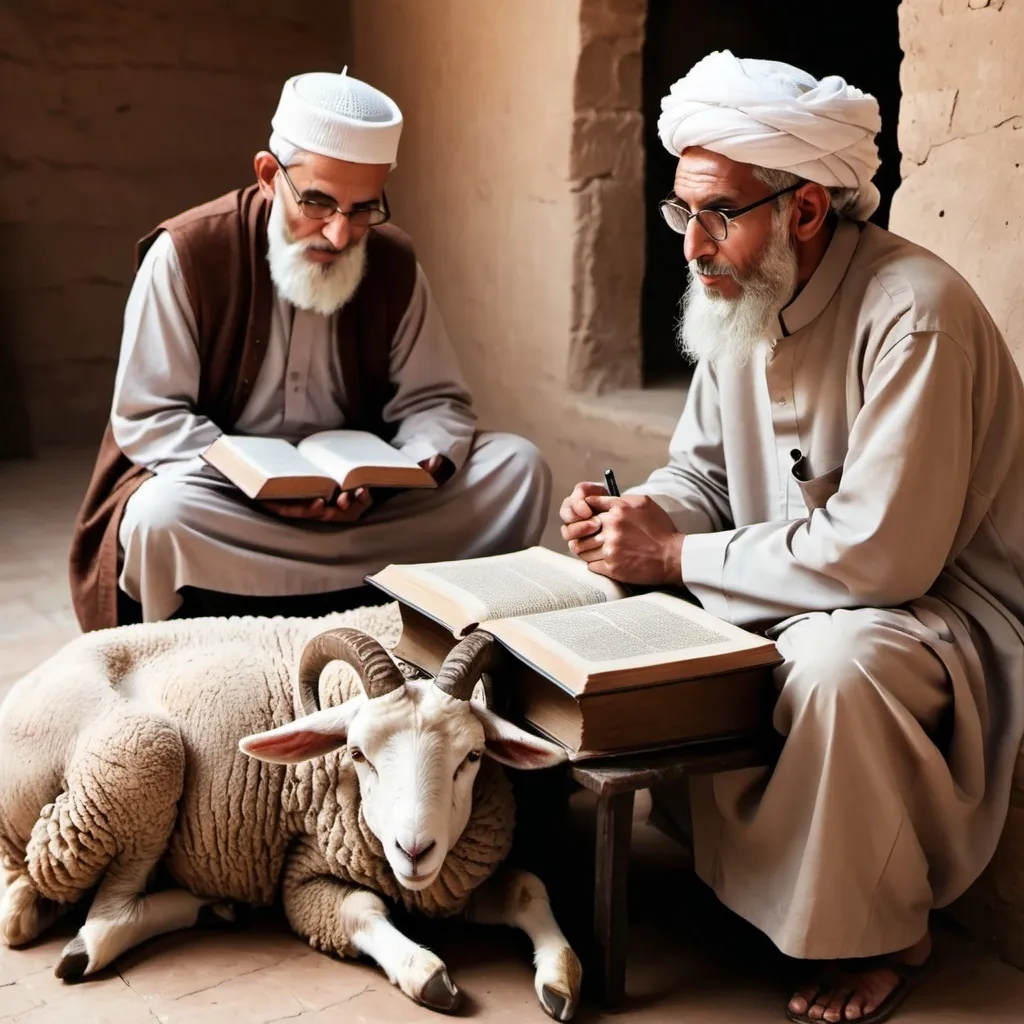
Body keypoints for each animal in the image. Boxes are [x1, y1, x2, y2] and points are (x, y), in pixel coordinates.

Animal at [0, 602, 585, 1019]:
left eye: (472, 757)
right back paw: (173, 914)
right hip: (138, 758)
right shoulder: (303, 875)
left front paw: (559, 977)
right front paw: (423, 971)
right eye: (357, 754)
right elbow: (358, 911)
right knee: (96, 915)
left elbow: (529, 886)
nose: (414, 850)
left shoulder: (448, 881)